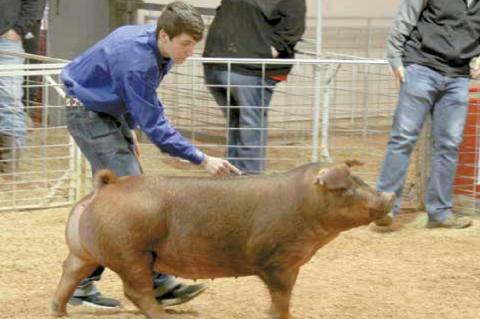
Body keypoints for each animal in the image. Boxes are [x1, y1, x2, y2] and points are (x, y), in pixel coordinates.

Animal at [51, 162, 394, 319]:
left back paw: (59, 312)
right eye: (347, 188)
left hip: (83, 251)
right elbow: (282, 295)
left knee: (69, 273)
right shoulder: (278, 260)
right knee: (136, 291)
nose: (389, 196)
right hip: (131, 251)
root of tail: (104, 188)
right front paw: (281, 316)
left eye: (359, 180)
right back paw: (164, 316)